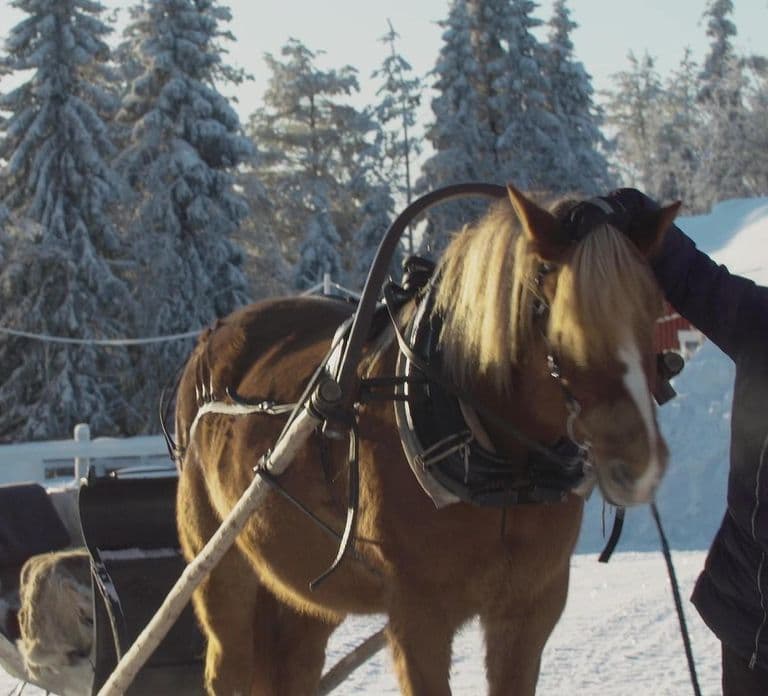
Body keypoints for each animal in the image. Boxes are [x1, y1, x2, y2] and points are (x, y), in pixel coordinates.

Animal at [174, 185, 681, 695]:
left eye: (653, 307)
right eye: (557, 314)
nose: (639, 460)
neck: (502, 475)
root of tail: (211, 336)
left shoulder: (529, 611)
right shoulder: (419, 616)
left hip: (305, 587)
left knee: (295, 662)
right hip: (222, 570)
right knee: (228, 662)